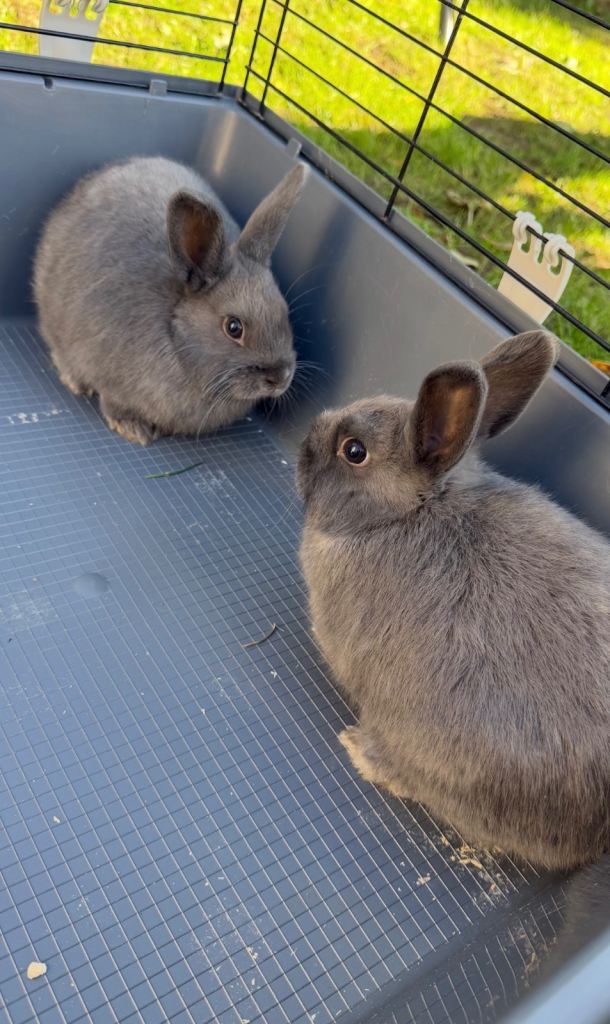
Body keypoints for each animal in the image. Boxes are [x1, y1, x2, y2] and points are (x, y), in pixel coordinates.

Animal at [33, 156, 306, 444]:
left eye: (284, 312)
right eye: (234, 327)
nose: (281, 378)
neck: (176, 338)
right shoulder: (111, 382)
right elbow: (114, 404)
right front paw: (135, 431)